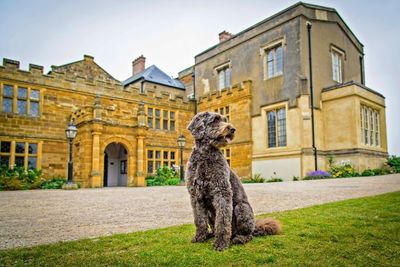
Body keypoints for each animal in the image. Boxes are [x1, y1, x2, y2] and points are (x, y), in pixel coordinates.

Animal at [186, 111, 280, 251]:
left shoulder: (222, 192)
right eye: (215, 120)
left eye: (225, 120)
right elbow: (199, 219)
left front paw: (220, 243)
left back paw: (239, 238)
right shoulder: (196, 196)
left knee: (248, 234)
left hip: (241, 208)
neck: (204, 155)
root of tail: (255, 227)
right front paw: (200, 237)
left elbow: (223, 220)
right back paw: (210, 234)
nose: (232, 129)